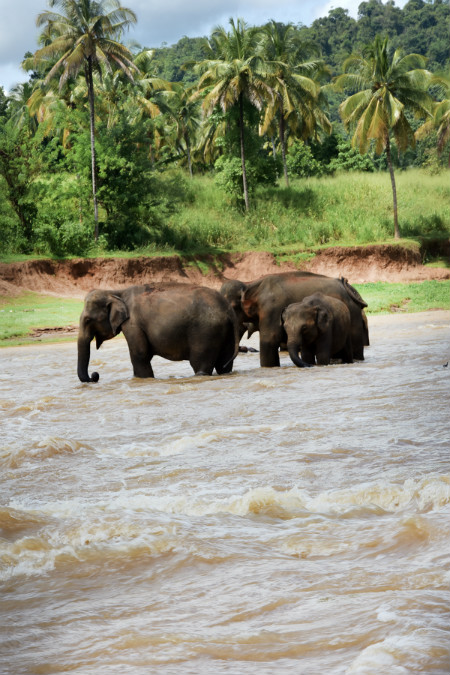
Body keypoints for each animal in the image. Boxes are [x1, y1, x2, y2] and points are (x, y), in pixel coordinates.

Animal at [77, 283, 240, 382]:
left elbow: (140, 354)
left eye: (88, 320)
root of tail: (228, 310)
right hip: (226, 332)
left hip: (206, 332)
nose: (95, 375)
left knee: (199, 364)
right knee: (224, 365)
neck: (115, 292)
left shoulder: (132, 324)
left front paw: (143, 380)